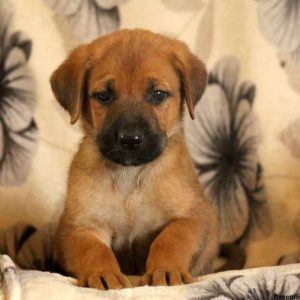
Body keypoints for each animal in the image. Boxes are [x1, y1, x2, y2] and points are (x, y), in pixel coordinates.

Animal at [51, 29, 220, 290]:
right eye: (103, 96)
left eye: (158, 94)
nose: (130, 140)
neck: (130, 177)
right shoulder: (81, 226)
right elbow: (94, 250)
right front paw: (101, 273)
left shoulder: (191, 217)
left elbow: (171, 240)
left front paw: (165, 269)